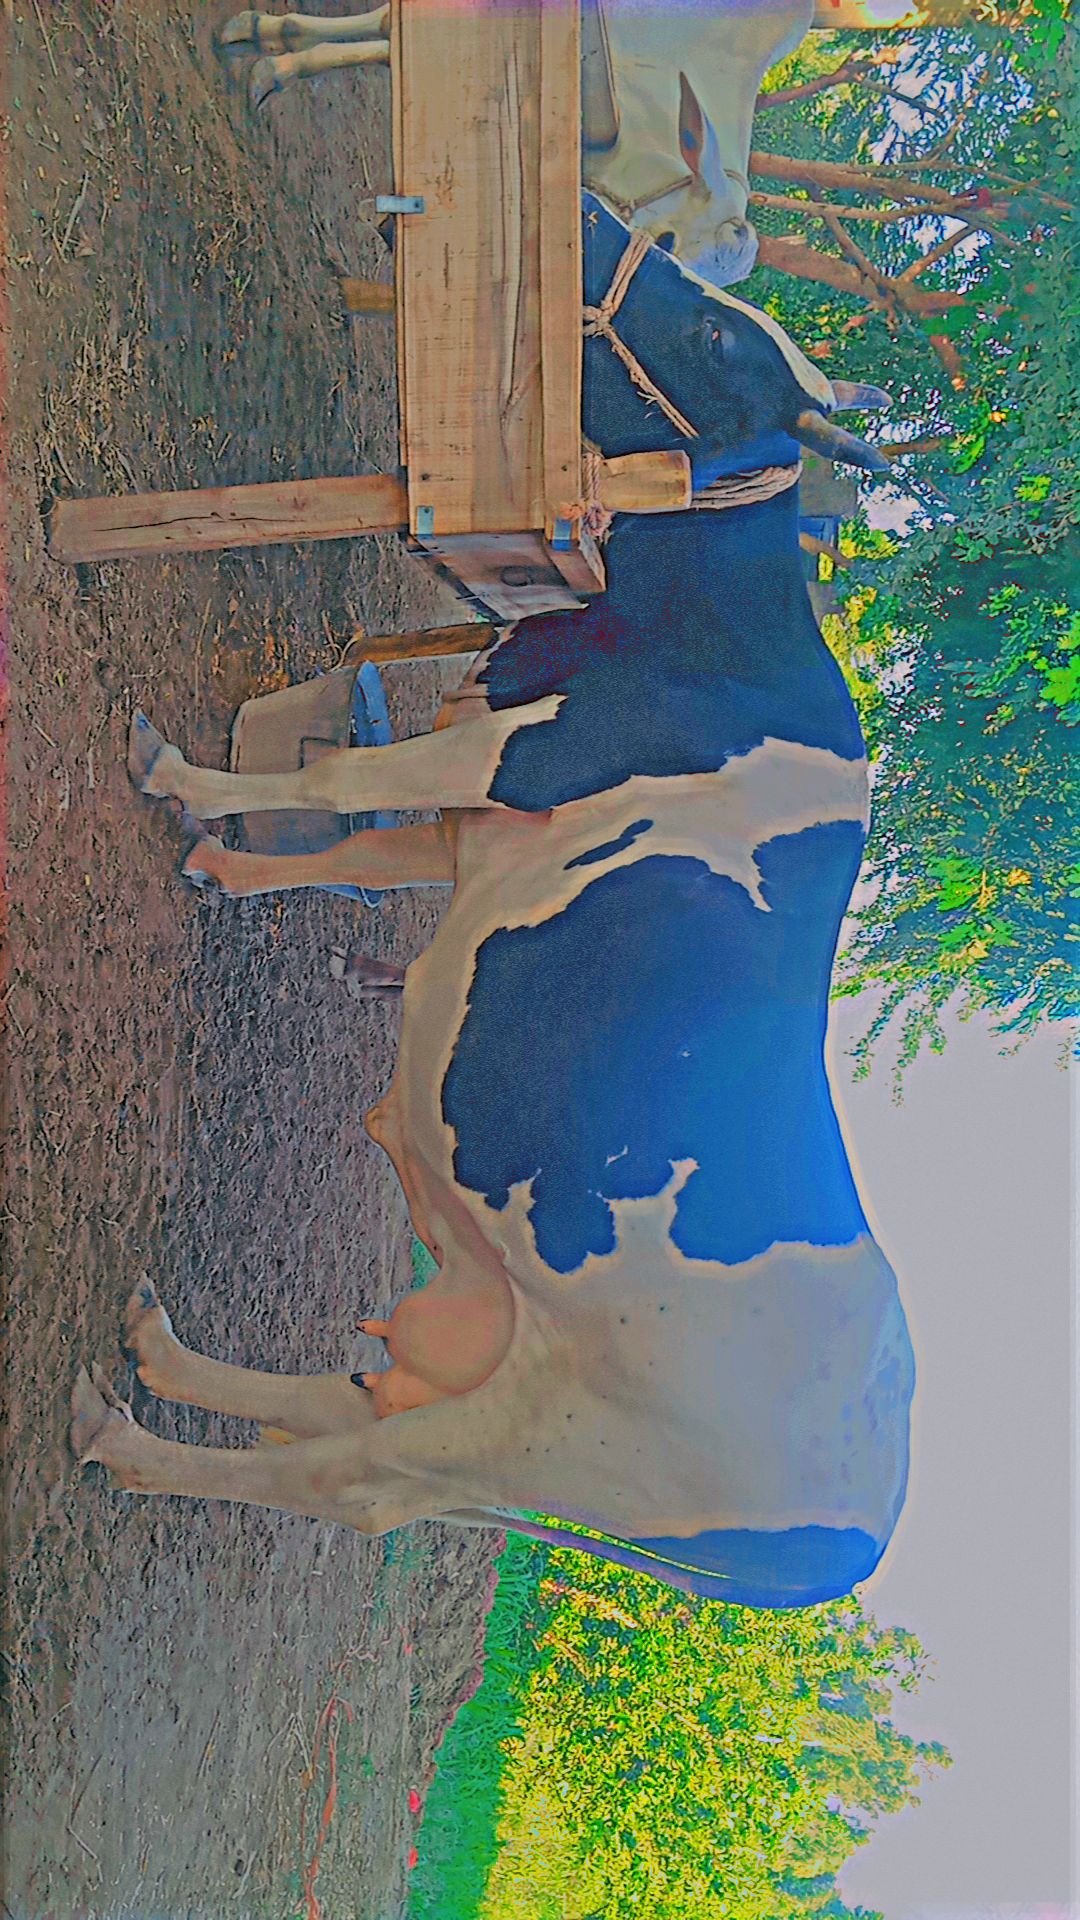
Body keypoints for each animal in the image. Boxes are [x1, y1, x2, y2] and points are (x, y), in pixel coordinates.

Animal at [72, 195, 913, 1610]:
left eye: (711, 335)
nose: (590, 211)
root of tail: (860, 1530)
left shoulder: (522, 752)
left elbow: (346, 780)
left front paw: (177, 775)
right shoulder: (487, 812)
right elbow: (363, 845)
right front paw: (228, 863)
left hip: (545, 1436)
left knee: (349, 1482)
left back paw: (128, 1440)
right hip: (486, 1357)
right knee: (348, 1407)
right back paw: (165, 1354)